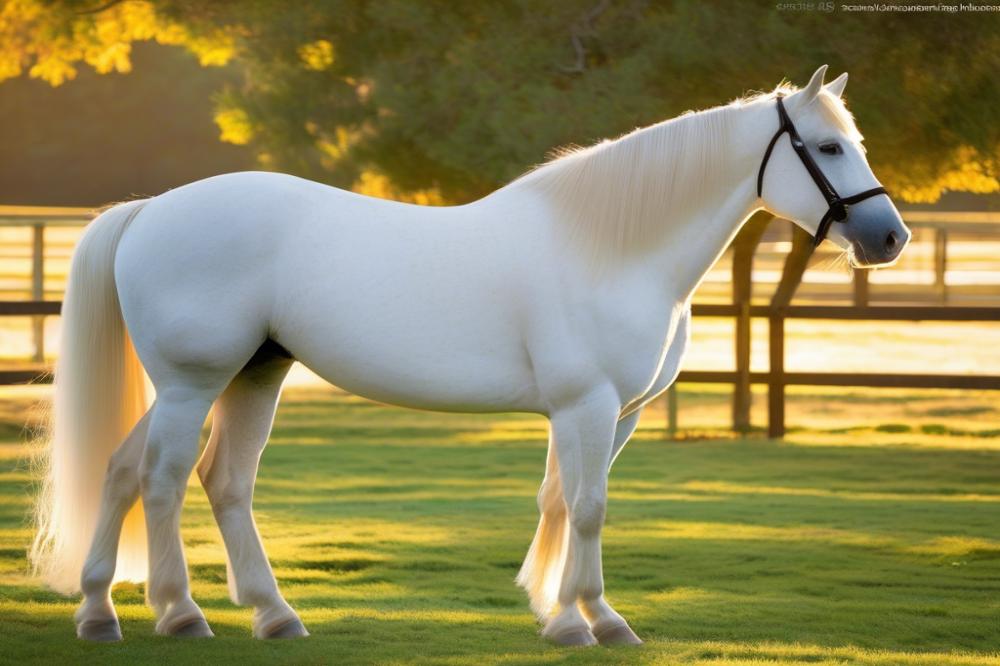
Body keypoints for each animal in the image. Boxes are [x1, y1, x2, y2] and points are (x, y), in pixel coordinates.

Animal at [30, 66, 909, 645]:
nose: (890, 238)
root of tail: (152, 210)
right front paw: (598, 621)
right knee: (164, 479)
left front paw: (558, 616)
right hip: (193, 383)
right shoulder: (586, 405)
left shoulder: (611, 415)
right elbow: (588, 507)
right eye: (828, 148)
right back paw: (180, 613)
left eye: (858, 141)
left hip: (250, 375)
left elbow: (561, 501)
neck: (611, 246)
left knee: (175, 476)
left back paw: (160, 613)